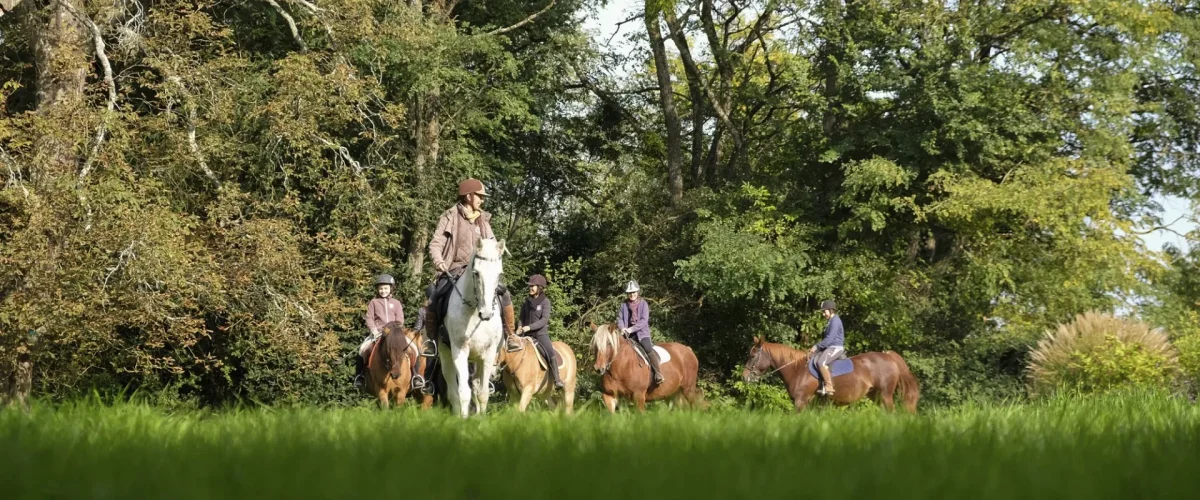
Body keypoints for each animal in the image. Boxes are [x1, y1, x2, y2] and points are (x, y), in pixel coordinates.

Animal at [436, 237, 506, 417]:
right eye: (476, 273)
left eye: (499, 274)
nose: (486, 313)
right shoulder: (460, 351)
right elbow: (463, 393)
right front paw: (463, 419)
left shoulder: (489, 354)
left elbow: (482, 393)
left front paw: (481, 419)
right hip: (446, 355)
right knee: (453, 391)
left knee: (475, 386)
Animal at [739, 335, 916, 412]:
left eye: (752, 355)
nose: (745, 376)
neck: (798, 369)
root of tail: (888, 356)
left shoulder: (801, 401)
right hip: (876, 396)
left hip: (886, 395)